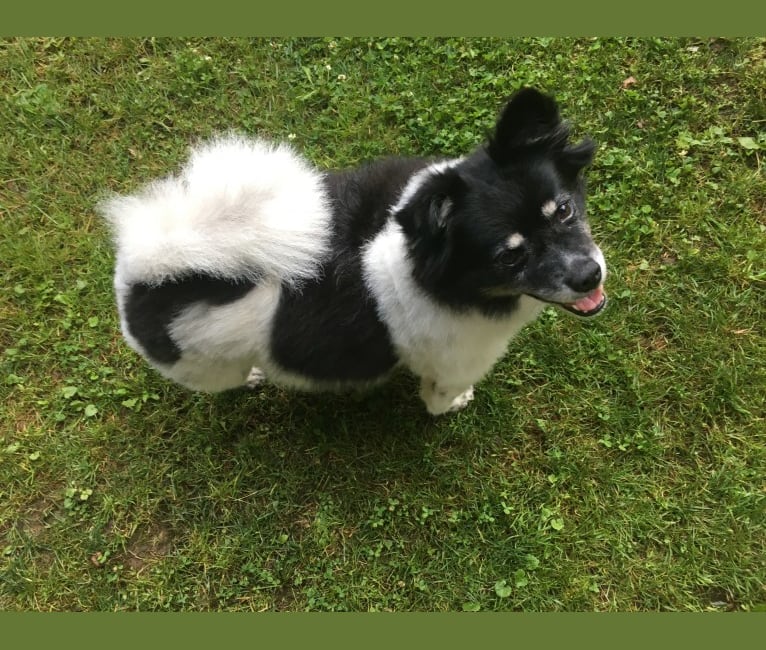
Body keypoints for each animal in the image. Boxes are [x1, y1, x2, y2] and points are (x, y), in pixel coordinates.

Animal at [102, 87, 608, 416]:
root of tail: (147, 266)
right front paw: (454, 406)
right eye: (509, 257)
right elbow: (439, 399)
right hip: (207, 365)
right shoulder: (454, 365)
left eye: (564, 210)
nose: (589, 275)